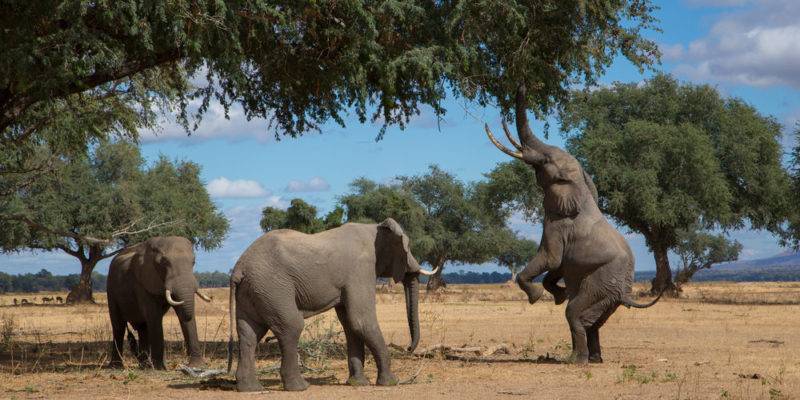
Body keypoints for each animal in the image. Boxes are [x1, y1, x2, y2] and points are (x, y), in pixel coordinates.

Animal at [106, 236, 214, 370]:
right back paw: (117, 366)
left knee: (143, 327)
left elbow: (180, 313)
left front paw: (197, 366)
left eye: (193, 262)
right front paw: (159, 368)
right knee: (118, 326)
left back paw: (145, 366)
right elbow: (154, 315)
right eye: (164, 263)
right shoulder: (142, 282)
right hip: (111, 289)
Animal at [225, 217, 438, 392]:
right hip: (272, 287)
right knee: (291, 326)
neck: (374, 228)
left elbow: (351, 325)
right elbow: (362, 321)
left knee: (250, 334)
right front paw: (390, 383)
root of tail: (239, 268)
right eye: (407, 248)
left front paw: (358, 384)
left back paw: (250, 389)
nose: (408, 348)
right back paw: (300, 387)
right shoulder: (360, 269)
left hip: (254, 290)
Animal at [482, 86, 664, 364]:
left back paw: (576, 361)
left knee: (575, 314)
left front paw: (538, 297)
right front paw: (557, 295)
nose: (522, 85)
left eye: (545, 160)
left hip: (601, 283)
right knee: (593, 322)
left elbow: (551, 258)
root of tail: (625, 292)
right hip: (607, 292)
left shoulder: (557, 225)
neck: (580, 185)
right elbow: (557, 267)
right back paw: (593, 359)